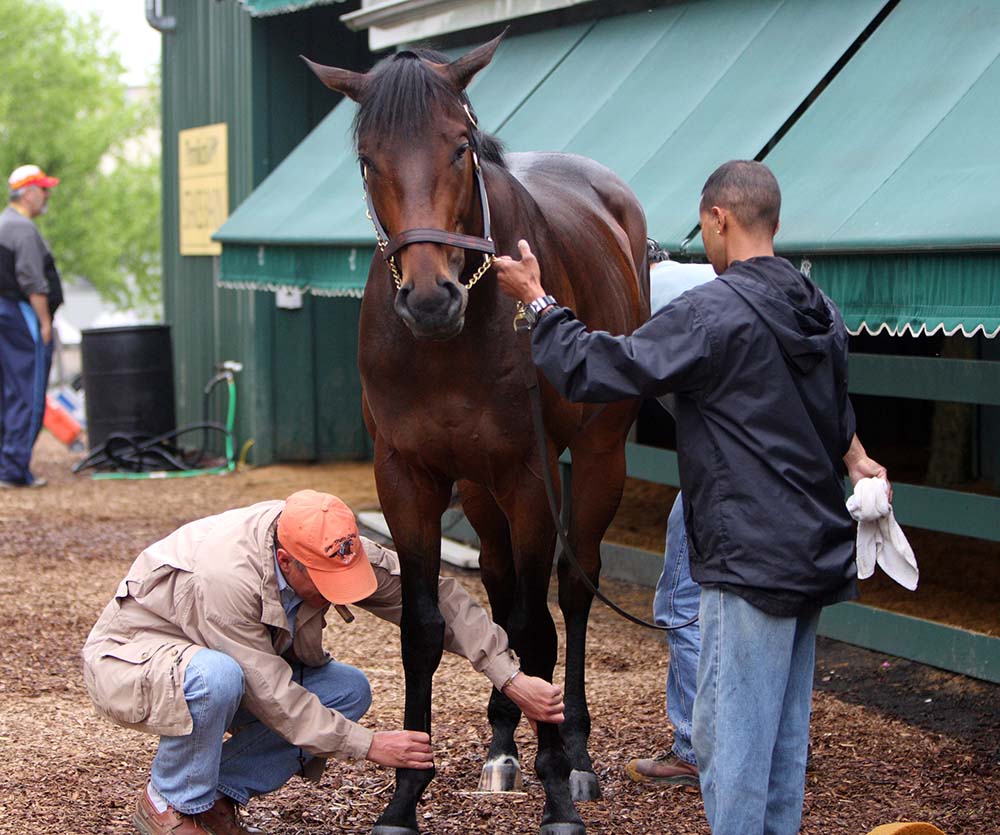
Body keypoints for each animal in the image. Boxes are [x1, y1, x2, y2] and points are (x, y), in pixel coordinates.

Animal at [304, 34, 648, 835]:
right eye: (367, 158)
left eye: (459, 147)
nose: (431, 299)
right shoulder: (407, 477)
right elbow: (428, 626)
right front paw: (405, 795)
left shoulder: (529, 474)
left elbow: (538, 627)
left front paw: (558, 791)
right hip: (478, 486)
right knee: (497, 587)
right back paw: (502, 743)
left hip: (595, 459)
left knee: (572, 590)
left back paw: (574, 753)